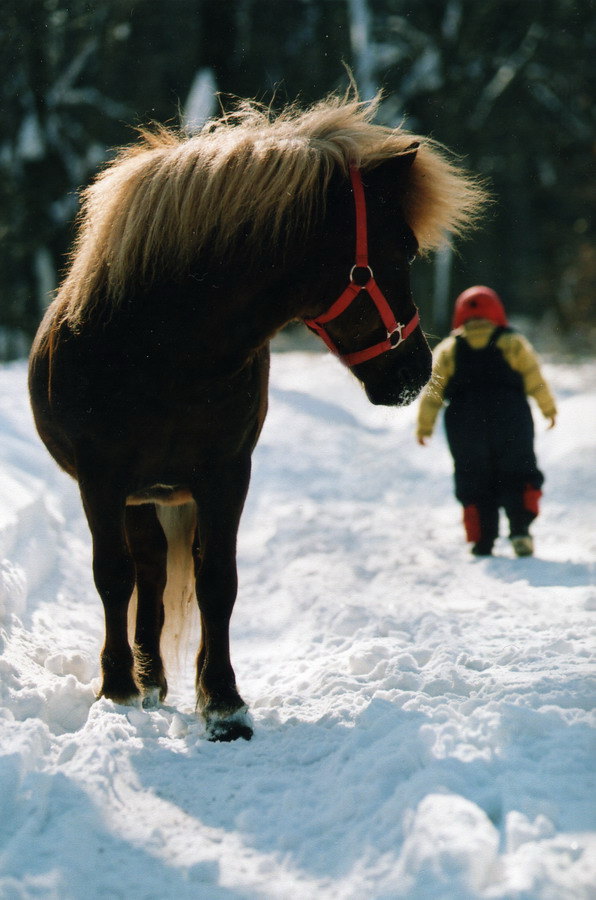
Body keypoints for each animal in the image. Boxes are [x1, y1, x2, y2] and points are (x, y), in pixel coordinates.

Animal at [28, 93, 486, 740]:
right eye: (400, 248)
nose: (416, 371)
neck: (160, 348)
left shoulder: (225, 475)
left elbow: (218, 581)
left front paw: (223, 703)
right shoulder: (102, 478)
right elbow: (113, 577)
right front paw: (116, 690)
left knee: (156, 571)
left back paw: (156, 678)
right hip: (136, 496)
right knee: (142, 572)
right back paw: (141, 681)